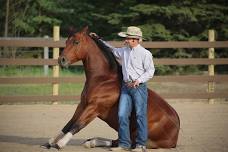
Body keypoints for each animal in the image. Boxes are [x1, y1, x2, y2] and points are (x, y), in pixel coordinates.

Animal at [41, 26, 180, 150]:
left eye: (76, 42)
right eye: (66, 42)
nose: (62, 60)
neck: (103, 80)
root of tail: (176, 129)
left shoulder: (94, 108)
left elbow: (77, 124)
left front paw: (60, 144)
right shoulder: (82, 105)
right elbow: (68, 124)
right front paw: (50, 142)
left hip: (138, 134)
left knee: (128, 143)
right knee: (119, 141)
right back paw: (91, 142)